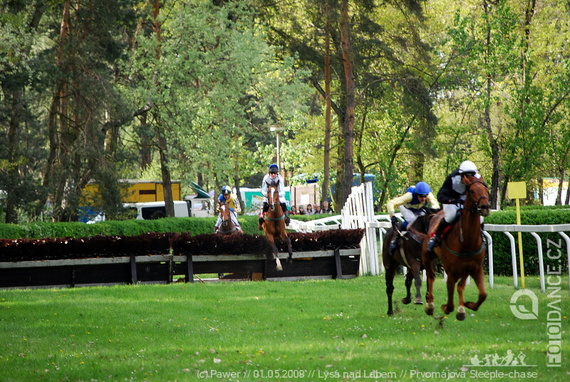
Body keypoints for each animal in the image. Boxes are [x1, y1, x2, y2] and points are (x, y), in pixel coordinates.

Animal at [420, 175, 490, 320]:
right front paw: (447, 307)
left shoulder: (475, 268)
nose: (485, 206)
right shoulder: (451, 271)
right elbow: (450, 293)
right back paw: (430, 305)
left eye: (486, 189)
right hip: (428, 257)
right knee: (431, 277)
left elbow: (481, 294)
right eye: (472, 191)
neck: (468, 242)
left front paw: (466, 306)